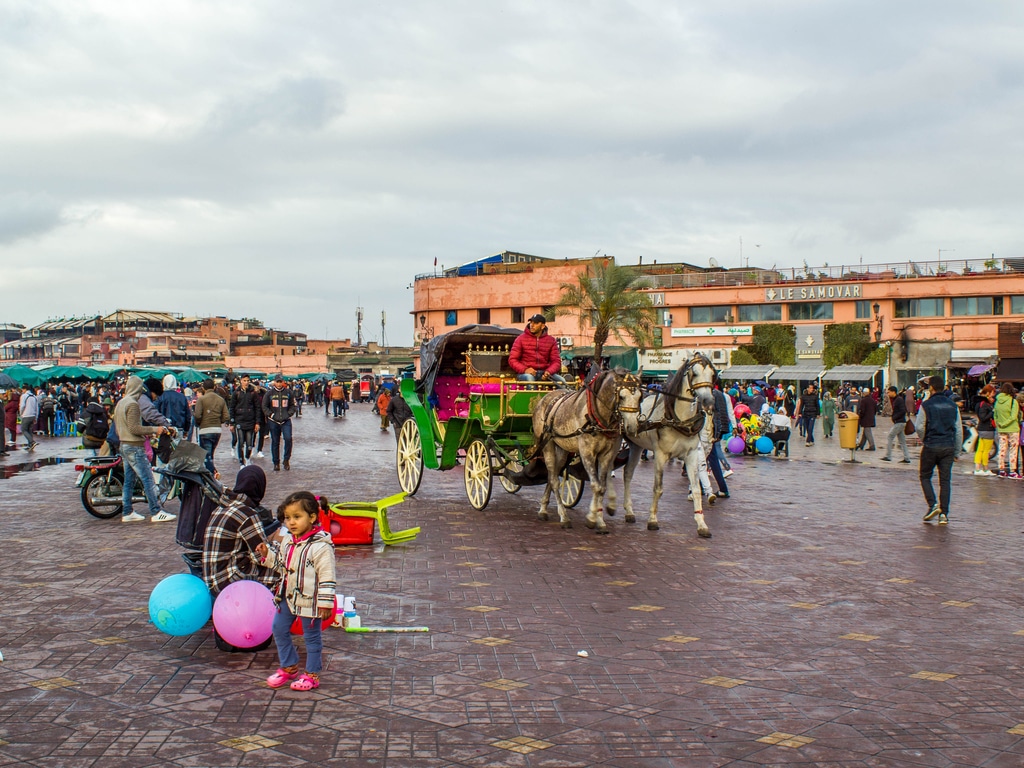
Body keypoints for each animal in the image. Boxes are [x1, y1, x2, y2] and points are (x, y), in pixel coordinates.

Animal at [532, 372, 643, 536]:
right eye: (622, 396)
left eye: (640, 397)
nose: (632, 427)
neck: (599, 418)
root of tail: (546, 397)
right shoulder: (587, 453)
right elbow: (596, 486)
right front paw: (591, 519)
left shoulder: (607, 454)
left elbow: (602, 487)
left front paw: (600, 522)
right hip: (548, 446)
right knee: (554, 479)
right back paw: (564, 517)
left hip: (563, 449)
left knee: (552, 476)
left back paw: (543, 509)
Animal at [618, 354, 716, 536]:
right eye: (694, 373)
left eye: (713, 374)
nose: (708, 401)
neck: (678, 419)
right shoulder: (660, 455)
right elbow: (658, 488)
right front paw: (652, 520)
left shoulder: (692, 454)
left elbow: (696, 489)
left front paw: (701, 524)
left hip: (636, 446)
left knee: (627, 473)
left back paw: (629, 511)